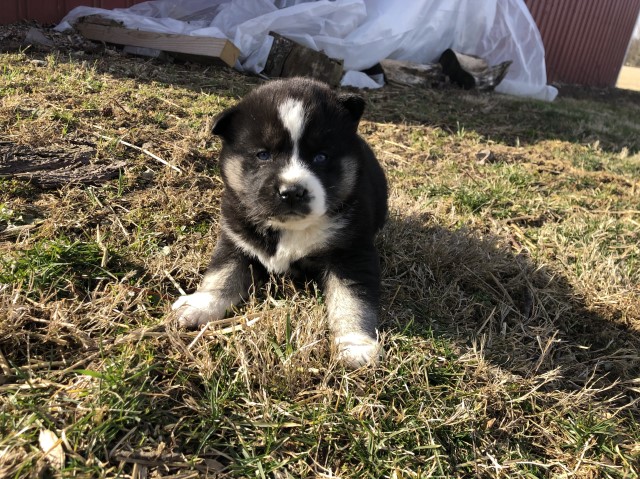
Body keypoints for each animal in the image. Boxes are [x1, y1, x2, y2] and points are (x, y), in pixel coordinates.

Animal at [172, 79, 388, 370]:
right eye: (263, 155)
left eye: (321, 157)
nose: (292, 191)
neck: (290, 228)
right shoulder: (235, 238)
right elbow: (222, 274)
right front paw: (200, 305)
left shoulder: (351, 252)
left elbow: (353, 300)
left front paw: (356, 345)